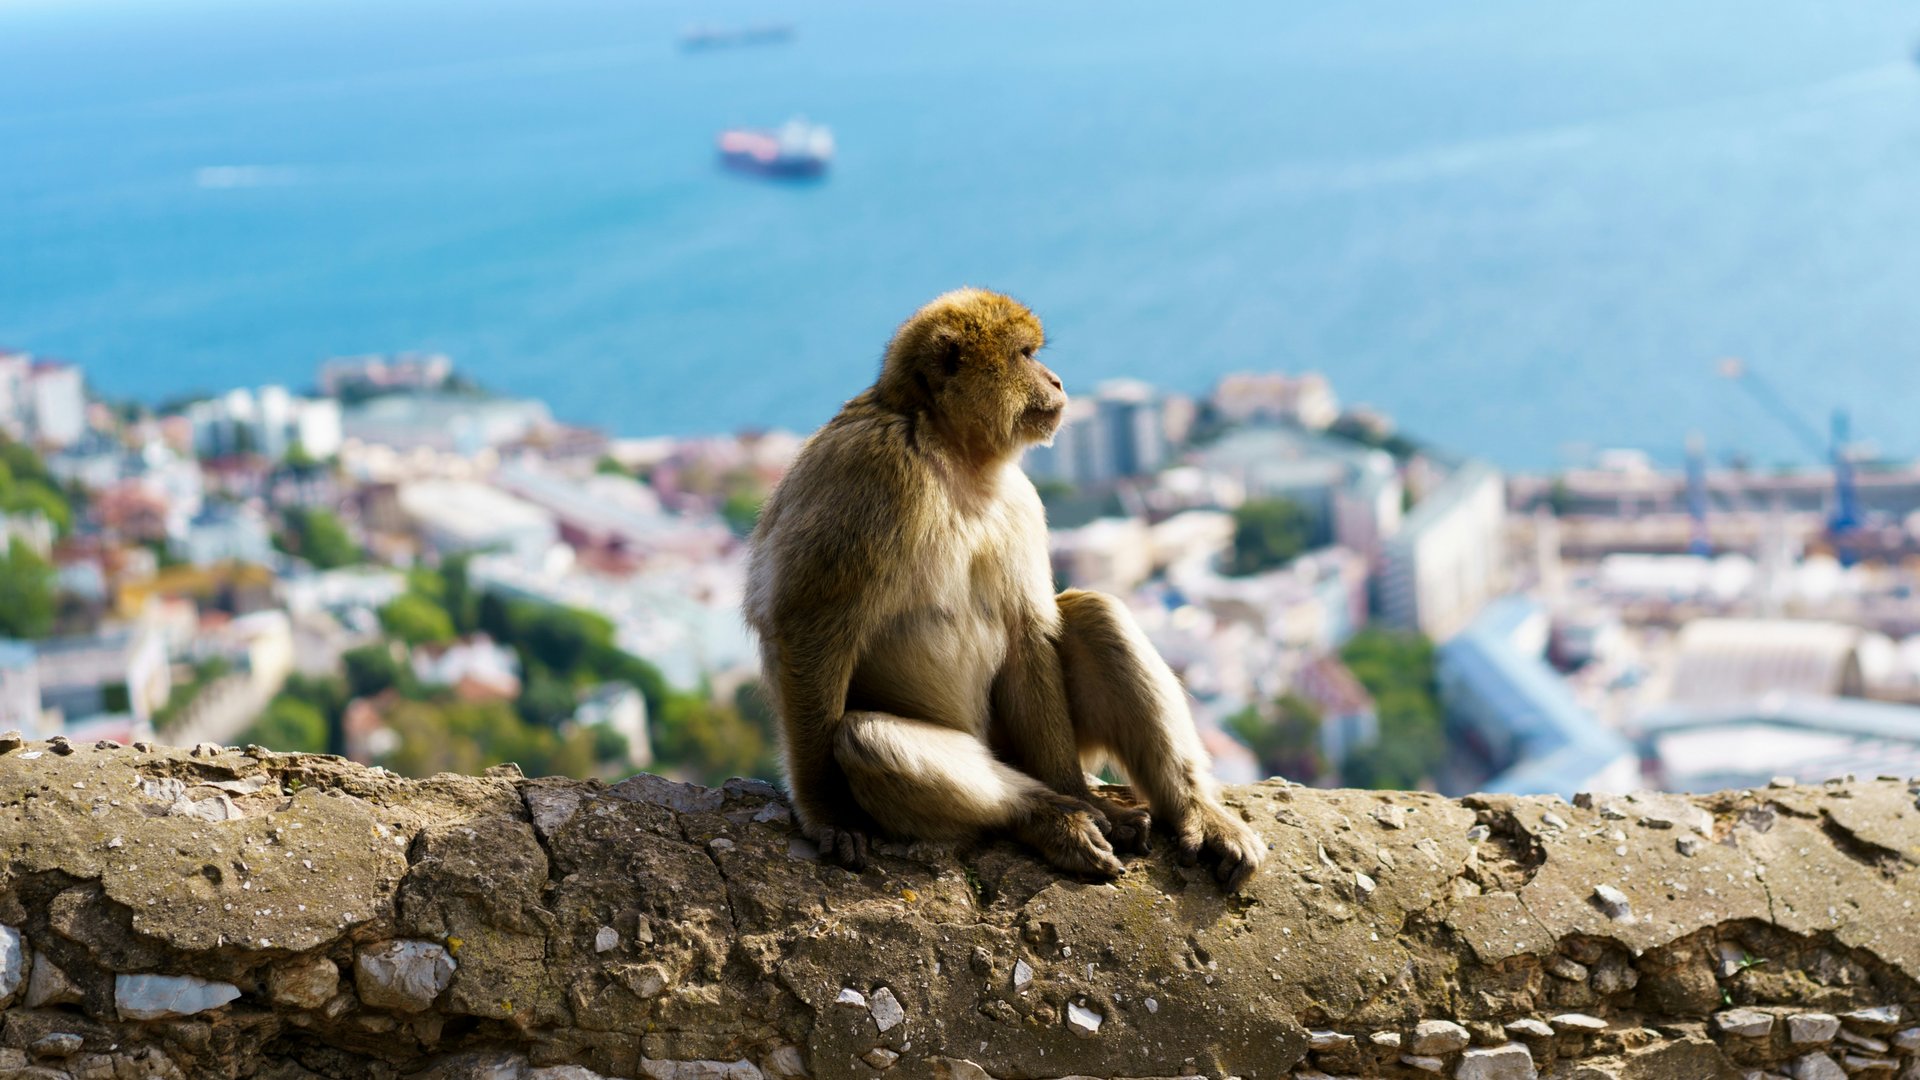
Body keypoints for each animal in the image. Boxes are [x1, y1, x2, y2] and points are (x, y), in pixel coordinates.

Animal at [741, 284, 1267, 883]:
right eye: (1025, 355)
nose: (1057, 380)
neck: (950, 450)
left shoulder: (1019, 499)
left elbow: (1026, 632)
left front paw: (1081, 793)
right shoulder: (871, 471)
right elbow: (809, 625)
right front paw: (827, 811)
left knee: (1095, 611)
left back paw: (1173, 810)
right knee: (867, 739)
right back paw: (1048, 816)